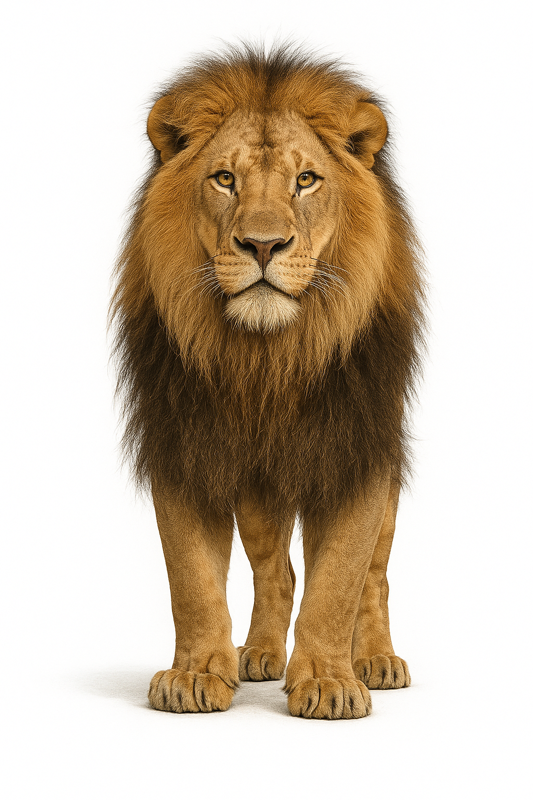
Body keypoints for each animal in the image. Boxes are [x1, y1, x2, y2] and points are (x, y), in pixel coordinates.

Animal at [111, 44, 425, 719]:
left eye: (306, 180)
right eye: (224, 179)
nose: (262, 244)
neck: (267, 359)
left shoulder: (356, 450)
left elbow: (341, 581)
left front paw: (330, 682)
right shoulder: (185, 447)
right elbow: (192, 579)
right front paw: (196, 673)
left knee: (376, 575)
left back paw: (377, 660)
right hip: (256, 492)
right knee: (276, 570)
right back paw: (257, 655)